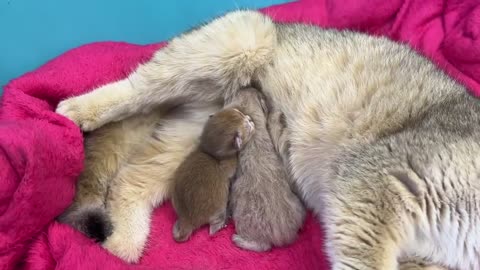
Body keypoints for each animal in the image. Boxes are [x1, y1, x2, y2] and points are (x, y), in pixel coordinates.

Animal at [172, 106, 255, 242]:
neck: (210, 152)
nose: (249, 118)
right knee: (212, 229)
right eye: (247, 126)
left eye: (238, 112)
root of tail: (187, 219)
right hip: (218, 210)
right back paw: (222, 223)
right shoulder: (229, 164)